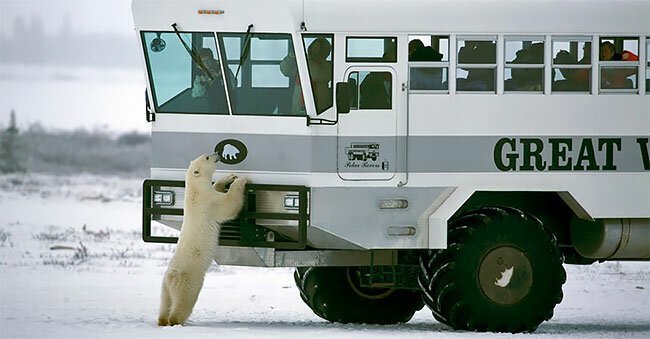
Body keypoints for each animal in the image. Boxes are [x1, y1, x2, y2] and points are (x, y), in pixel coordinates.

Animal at [158, 153, 248, 326]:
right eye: (207, 157)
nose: (218, 154)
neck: (195, 191)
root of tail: (171, 277)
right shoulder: (209, 203)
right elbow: (228, 204)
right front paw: (242, 180)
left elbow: (217, 188)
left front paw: (229, 177)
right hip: (189, 280)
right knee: (184, 301)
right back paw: (175, 321)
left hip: (164, 287)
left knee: (164, 303)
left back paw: (162, 320)